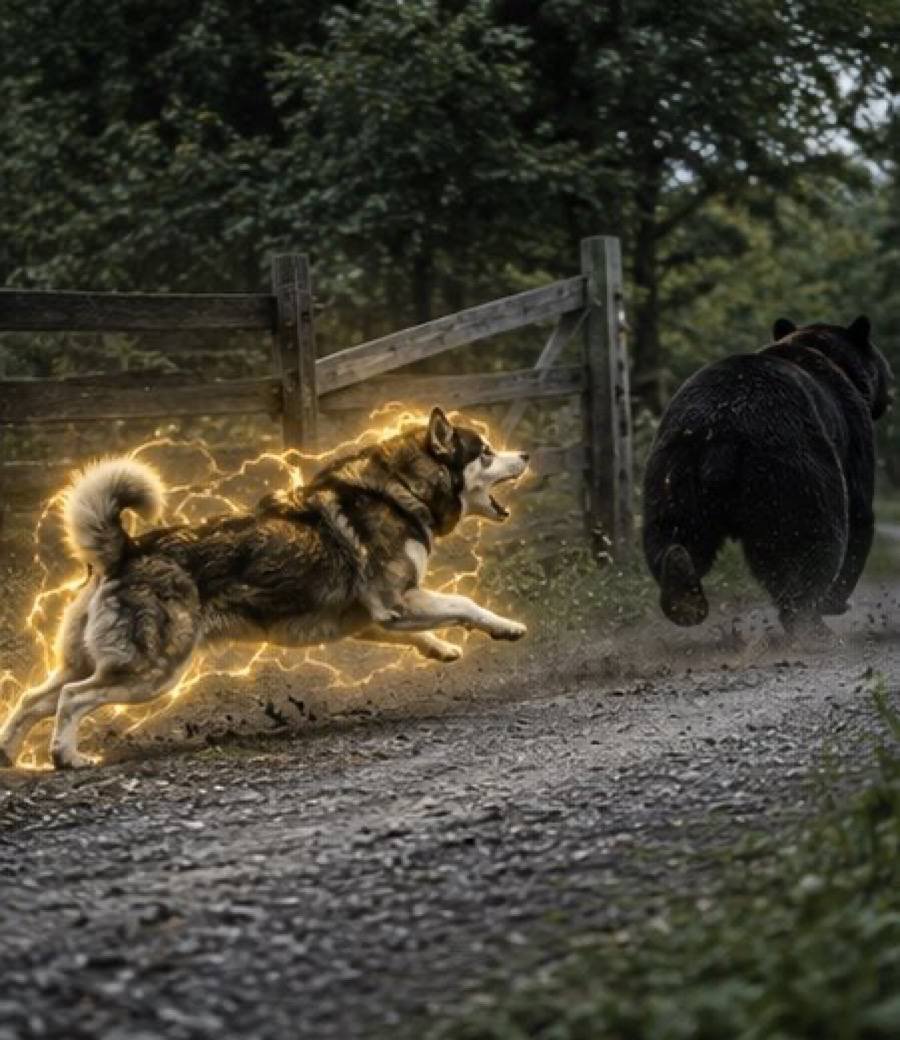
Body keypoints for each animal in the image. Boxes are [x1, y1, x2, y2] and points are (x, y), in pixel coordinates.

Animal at [642, 316, 893, 637]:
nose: (889, 394)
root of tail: (723, 436)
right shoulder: (853, 429)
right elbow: (860, 512)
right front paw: (835, 601)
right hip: (793, 470)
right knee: (807, 545)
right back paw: (810, 623)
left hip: (675, 471)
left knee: (673, 532)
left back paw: (682, 591)